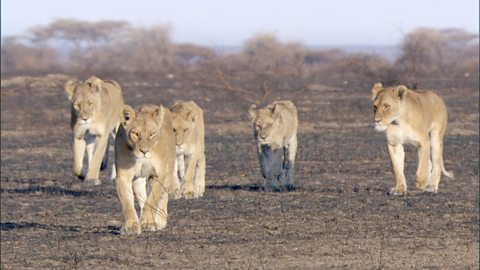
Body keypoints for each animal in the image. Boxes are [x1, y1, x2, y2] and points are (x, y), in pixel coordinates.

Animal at [114, 103, 178, 234]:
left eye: (152, 134)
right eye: (136, 134)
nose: (144, 151)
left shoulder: (158, 174)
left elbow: (152, 200)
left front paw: (149, 223)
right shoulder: (123, 176)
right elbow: (127, 204)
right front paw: (131, 226)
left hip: (168, 172)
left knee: (163, 196)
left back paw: (159, 220)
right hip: (138, 180)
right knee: (142, 199)